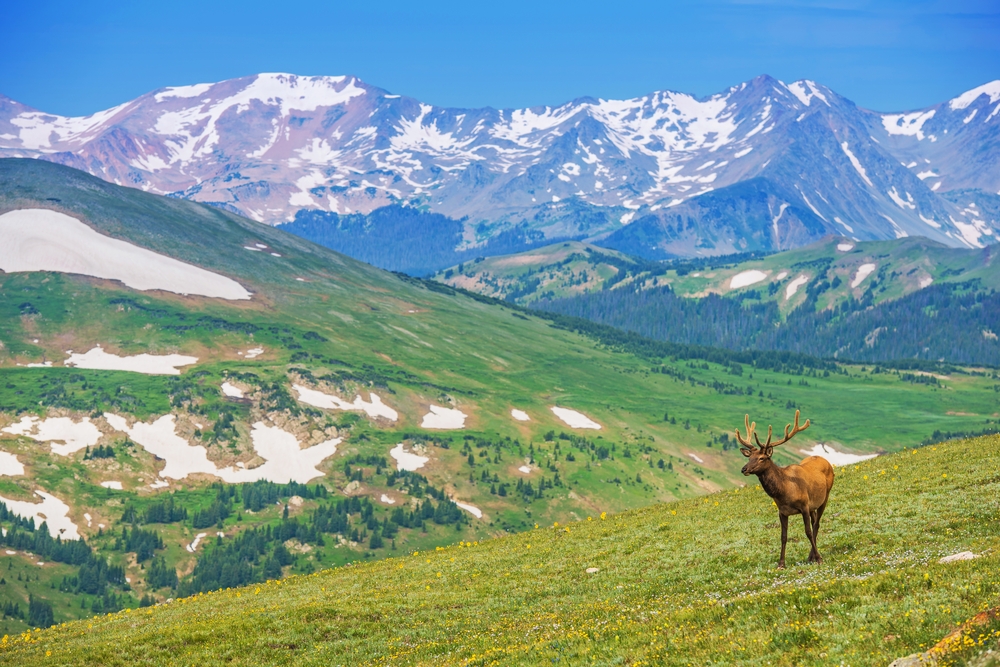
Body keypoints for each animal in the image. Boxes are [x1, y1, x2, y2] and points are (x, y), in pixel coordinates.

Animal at [736, 412, 836, 568]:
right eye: (749, 457)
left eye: (762, 458)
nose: (744, 469)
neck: (785, 492)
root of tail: (825, 460)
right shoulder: (782, 512)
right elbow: (783, 536)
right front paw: (781, 563)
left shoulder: (804, 505)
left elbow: (807, 531)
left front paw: (819, 559)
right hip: (813, 505)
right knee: (815, 523)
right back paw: (811, 556)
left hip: (825, 497)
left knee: (816, 524)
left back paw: (813, 556)